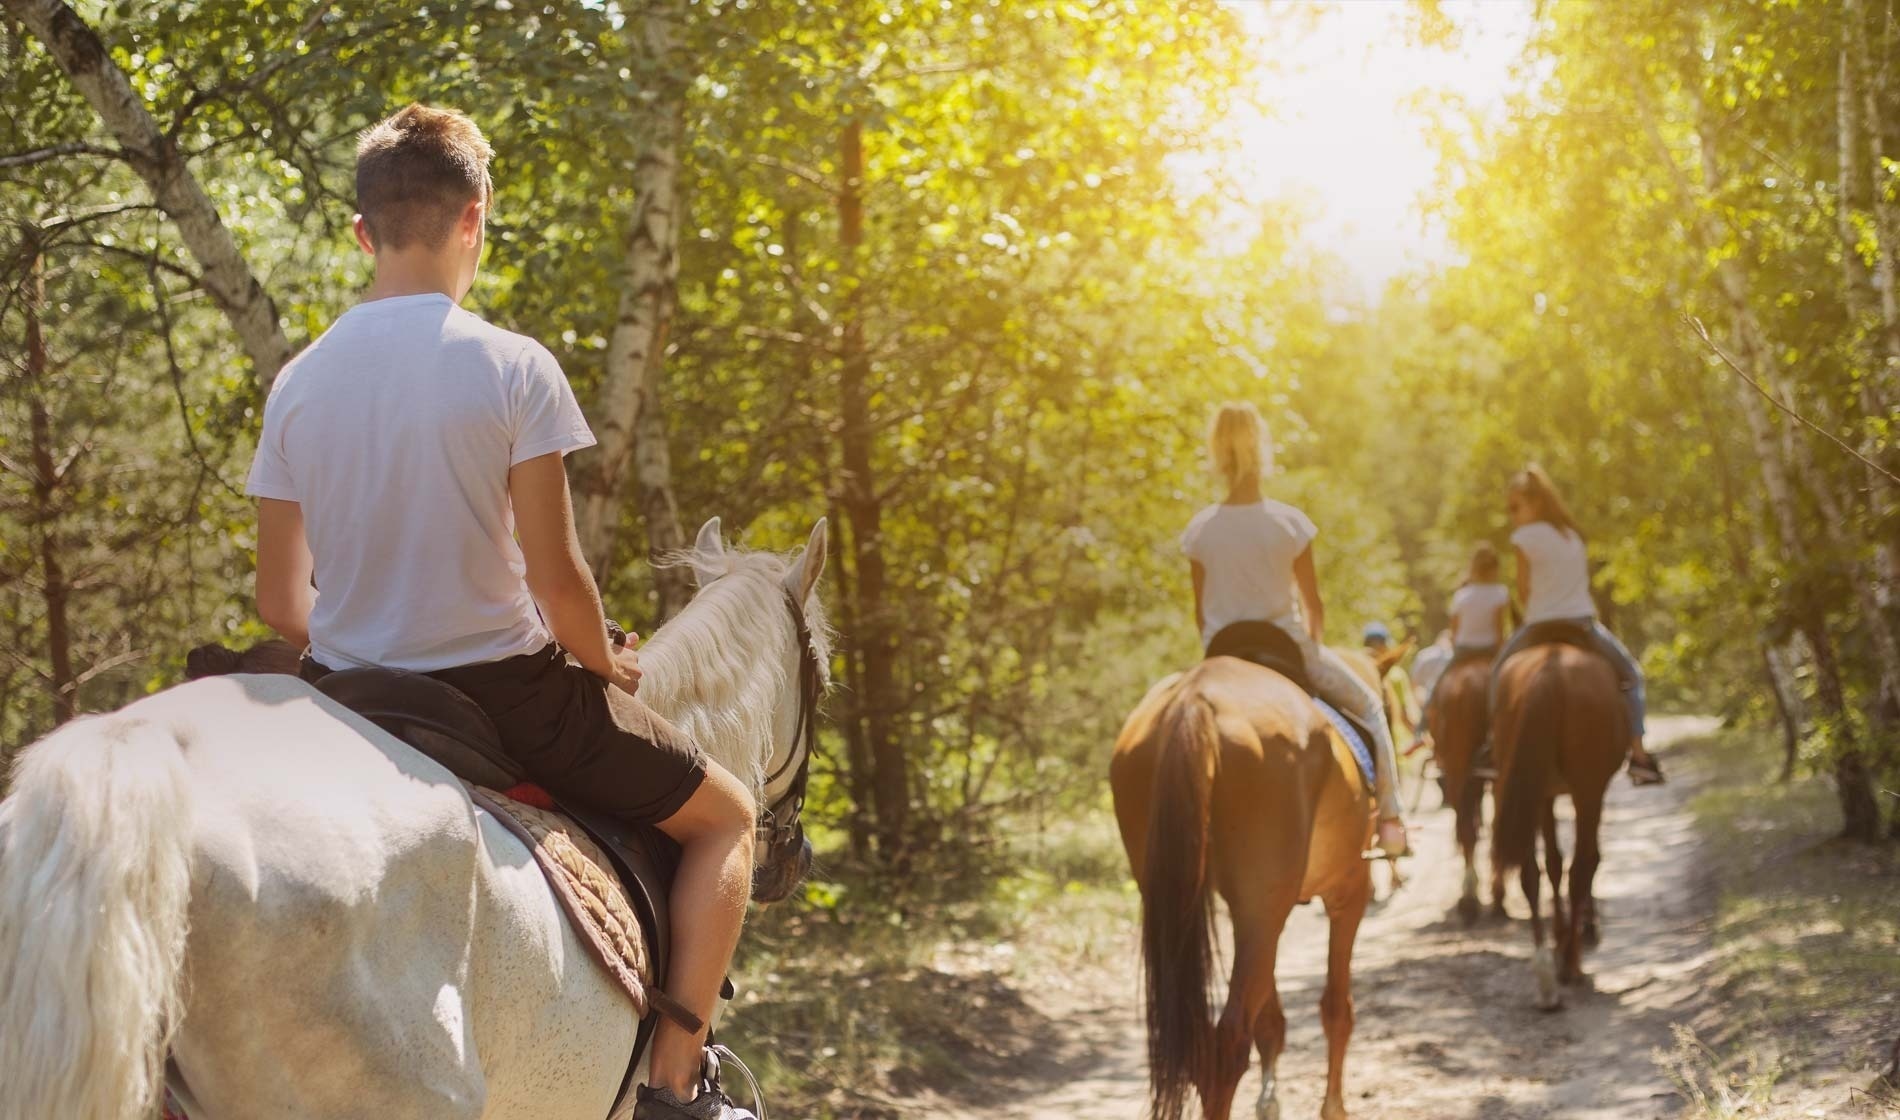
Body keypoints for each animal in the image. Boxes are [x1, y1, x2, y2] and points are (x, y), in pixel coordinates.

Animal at [1102, 650, 1383, 1110]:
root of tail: (1195, 702)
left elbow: (1270, 1018)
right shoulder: (1348, 892)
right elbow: (1336, 1008)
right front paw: (1333, 1108)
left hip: (1190, 904)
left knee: (1207, 1043)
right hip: (1263, 908)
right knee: (1229, 1043)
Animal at [1489, 642, 1626, 1011]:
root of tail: (1550, 667)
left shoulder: (1545, 793)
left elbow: (1552, 863)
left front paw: (1560, 933)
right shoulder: (1589, 792)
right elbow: (1586, 861)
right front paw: (1578, 933)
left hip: (1530, 786)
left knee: (1530, 873)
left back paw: (1546, 975)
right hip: (1586, 788)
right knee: (1580, 868)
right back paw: (1569, 966)